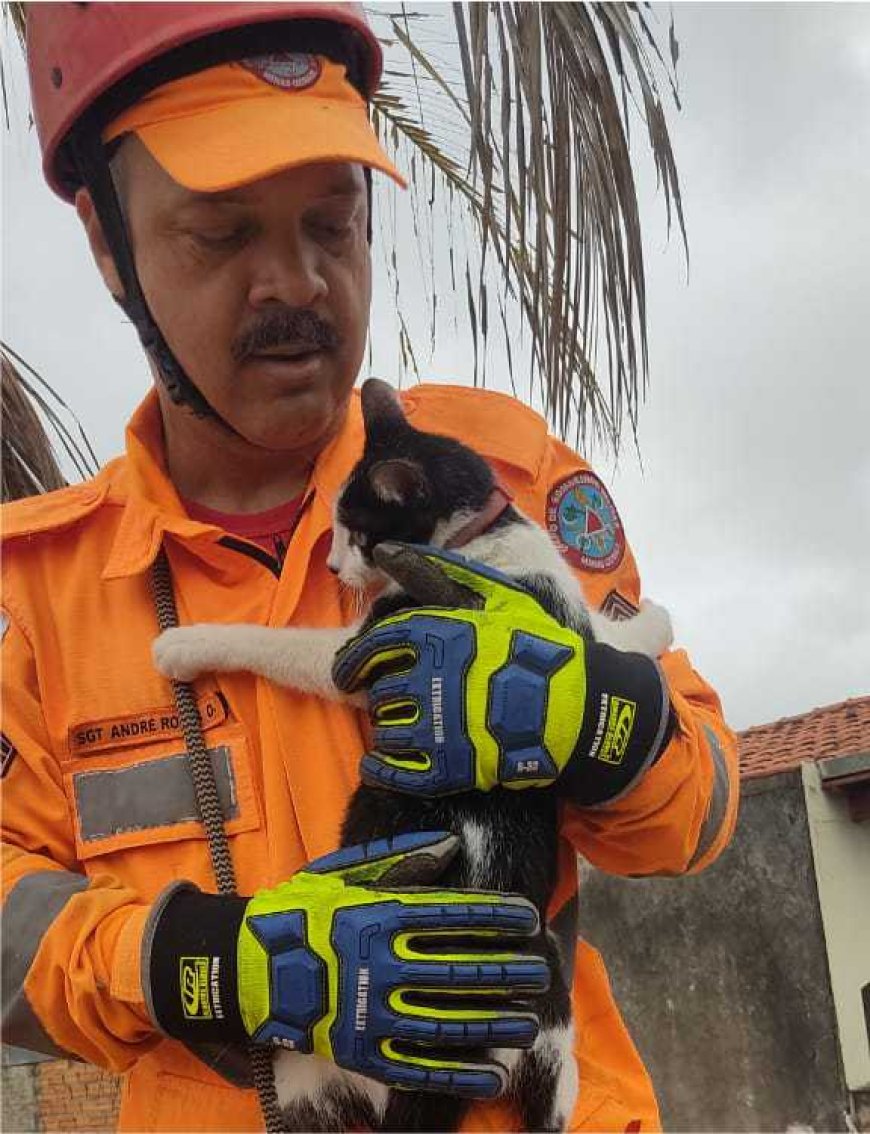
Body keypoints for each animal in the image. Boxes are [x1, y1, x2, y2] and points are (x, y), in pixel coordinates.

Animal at [154, 376, 671, 1129]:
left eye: (358, 532)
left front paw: (186, 644)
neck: (483, 539)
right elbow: (614, 640)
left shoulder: (364, 646)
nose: (334, 564)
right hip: (554, 1028)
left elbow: (280, 644)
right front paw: (654, 624)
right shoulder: (566, 622)